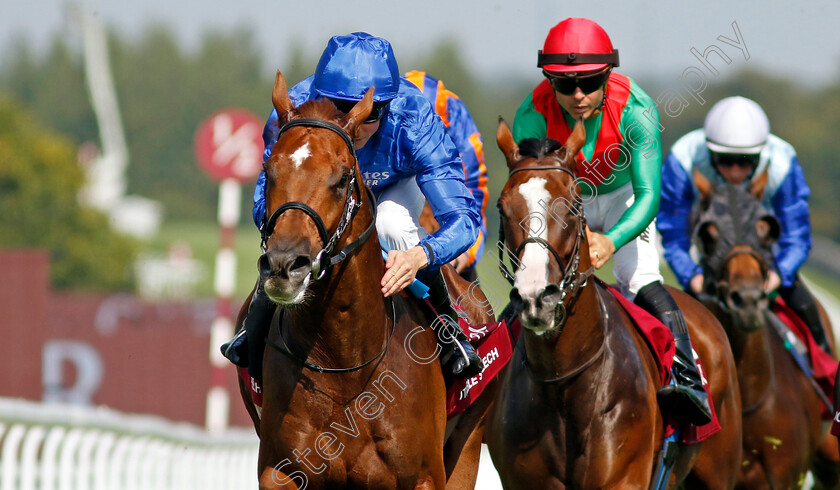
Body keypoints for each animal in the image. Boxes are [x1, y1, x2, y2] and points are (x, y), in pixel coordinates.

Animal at [238, 71, 498, 488]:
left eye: (343, 177)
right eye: (268, 171)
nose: (284, 266)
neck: (347, 361)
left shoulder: (425, 475)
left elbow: (461, 214)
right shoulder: (279, 471)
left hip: (469, 442)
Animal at [486, 119, 740, 490]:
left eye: (572, 206)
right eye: (503, 208)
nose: (536, 297)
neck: (563, 384)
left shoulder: (622, 477)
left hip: (718, 469)